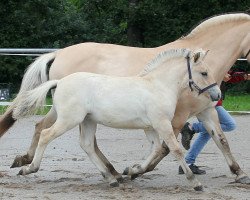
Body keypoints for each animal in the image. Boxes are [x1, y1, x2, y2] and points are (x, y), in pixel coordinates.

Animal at [12, 48, 219, 191]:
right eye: (204, 73)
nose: (217, 95)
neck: (158, 86)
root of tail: (60, 82)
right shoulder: (162, 124)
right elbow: (175, 150)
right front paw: (195, 183)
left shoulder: (151, 127)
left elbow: (155, 149)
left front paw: (132, 171)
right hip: (69, 120)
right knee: (46, 134)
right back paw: (29, 168)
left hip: (88, 121)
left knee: (86, 144)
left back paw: (111, 178)